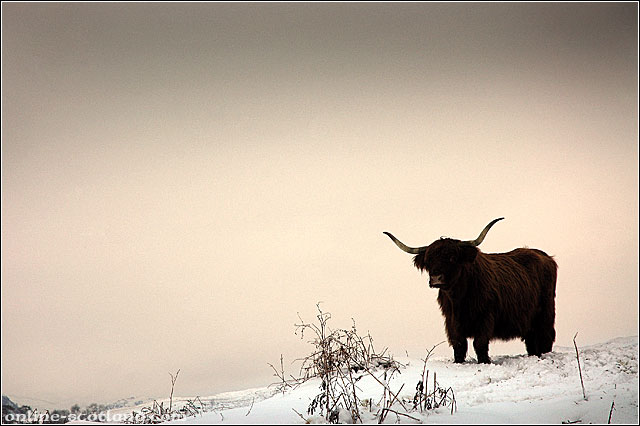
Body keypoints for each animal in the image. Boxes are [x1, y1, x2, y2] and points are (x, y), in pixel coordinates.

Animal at [383, 218, 557, 364]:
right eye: (429, 260)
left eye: (452, 257)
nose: (436, 278)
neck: (459, 298)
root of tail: (546, 257)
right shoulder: (451, 321)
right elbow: (459, 344)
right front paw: (458, 362)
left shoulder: (486, 317)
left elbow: (479, 343)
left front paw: (484, 362)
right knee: (531, 340)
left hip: (545, 313)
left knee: (545, 337)